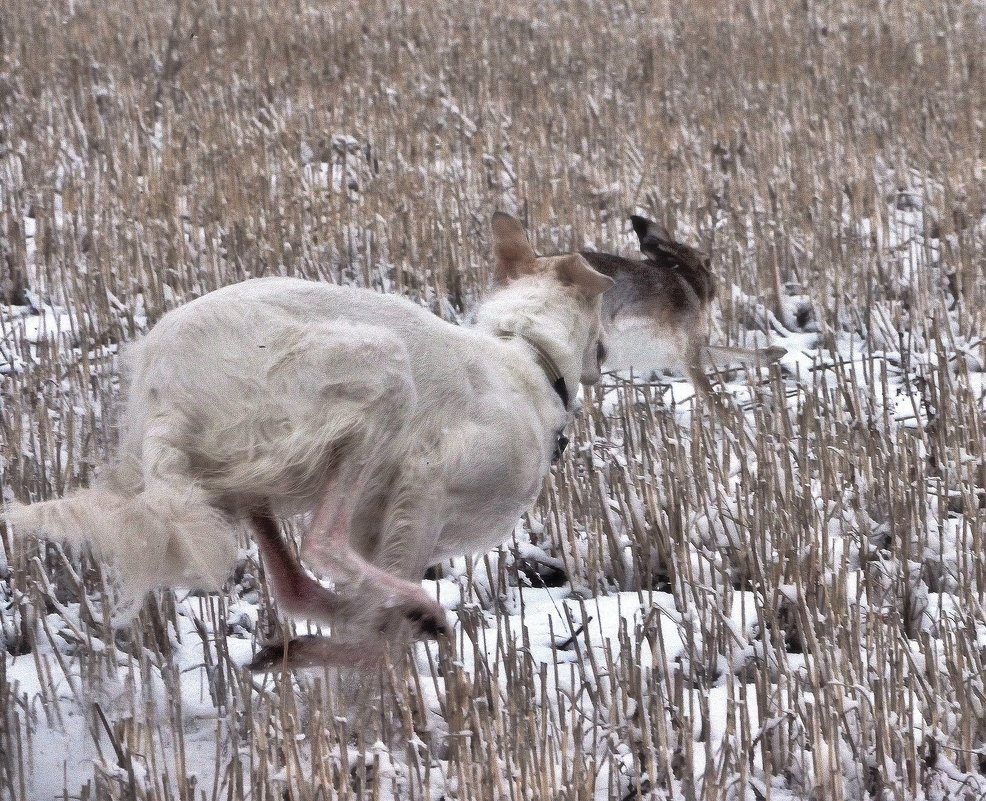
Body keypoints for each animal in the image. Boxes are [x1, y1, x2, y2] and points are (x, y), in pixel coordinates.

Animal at [7, 212, 612, 668]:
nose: (605, 354)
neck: (526, 355)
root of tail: (163, 387)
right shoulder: (427, 479)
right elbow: (374, 625)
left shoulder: (383, 521)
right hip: (378, 371)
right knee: (322, 543)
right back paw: (419, 615)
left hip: (245, 479)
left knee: (294, 583)